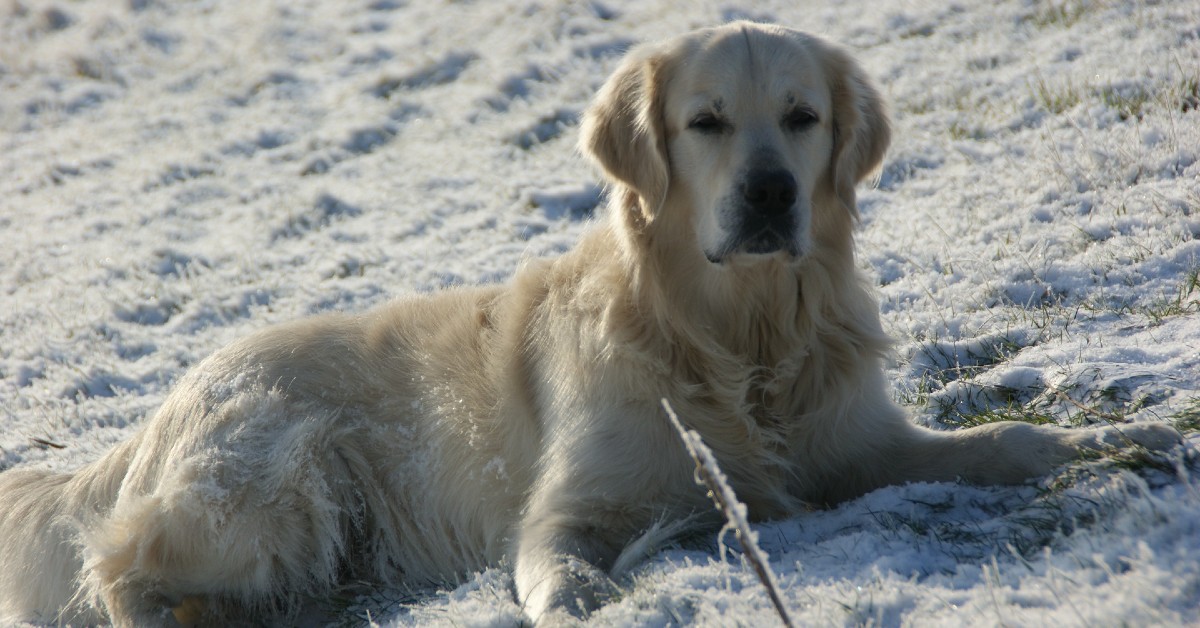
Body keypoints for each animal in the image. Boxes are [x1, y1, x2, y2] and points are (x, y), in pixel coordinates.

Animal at [0, 22, 1180, 624]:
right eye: (705, 122)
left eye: (802, 117)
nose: (768, 194)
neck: (735, 337)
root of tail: (155, 413)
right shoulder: (569, 502)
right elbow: (558, 565)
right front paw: (578, 596)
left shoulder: (858, 443)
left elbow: (1009, 440)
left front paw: (1124, 438)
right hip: (275, 485)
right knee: (118, 565)